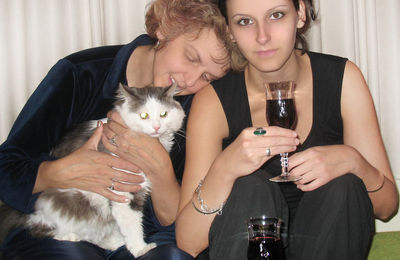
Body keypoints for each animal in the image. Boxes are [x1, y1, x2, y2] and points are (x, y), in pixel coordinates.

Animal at [0, 82, 186, 256]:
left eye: (163, 114)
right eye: (144, 115)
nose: (156, 127)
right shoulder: (124, 193)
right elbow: (133, 225)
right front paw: (141, 249)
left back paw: (114, 242)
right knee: (39, 229)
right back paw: (71, 237)